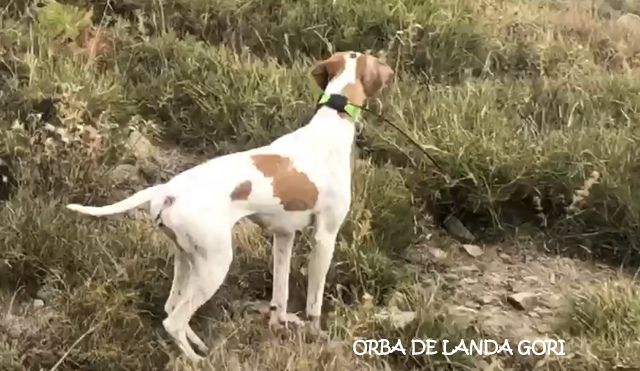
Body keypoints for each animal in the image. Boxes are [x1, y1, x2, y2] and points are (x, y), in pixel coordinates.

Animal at [66, 50, 396, 362]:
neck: (330, 124)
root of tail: (168, 191)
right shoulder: (325, 236)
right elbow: (315, 298)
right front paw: (316, 334)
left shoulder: (283, 237)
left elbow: (280, 292)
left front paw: (279, 325)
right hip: (215, 263)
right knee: (173, 321)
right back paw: (196, 359)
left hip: (187, 259)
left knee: (172, 307)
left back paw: (196, 343)